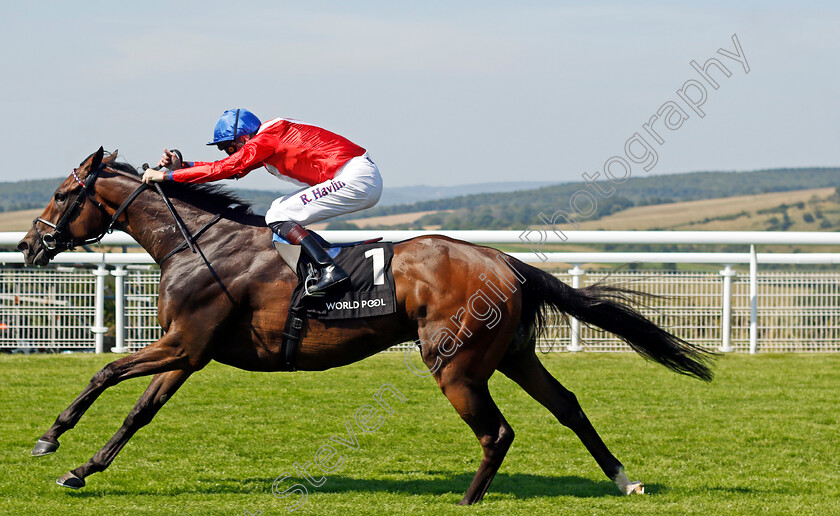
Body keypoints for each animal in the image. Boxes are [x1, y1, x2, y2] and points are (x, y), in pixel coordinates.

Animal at [16, 148, 712, 504]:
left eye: (61, 193)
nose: (28, 245)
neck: (200, 244)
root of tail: (504, 261)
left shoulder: (183, 343)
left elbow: (106, 371)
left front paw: (50, 438)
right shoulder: (189, 352)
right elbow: (139, 411)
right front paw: (80, 469)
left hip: (455, 363)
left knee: (498, 431)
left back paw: (466, 502)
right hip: (512, 354)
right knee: (567, 405)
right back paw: (625, 479)